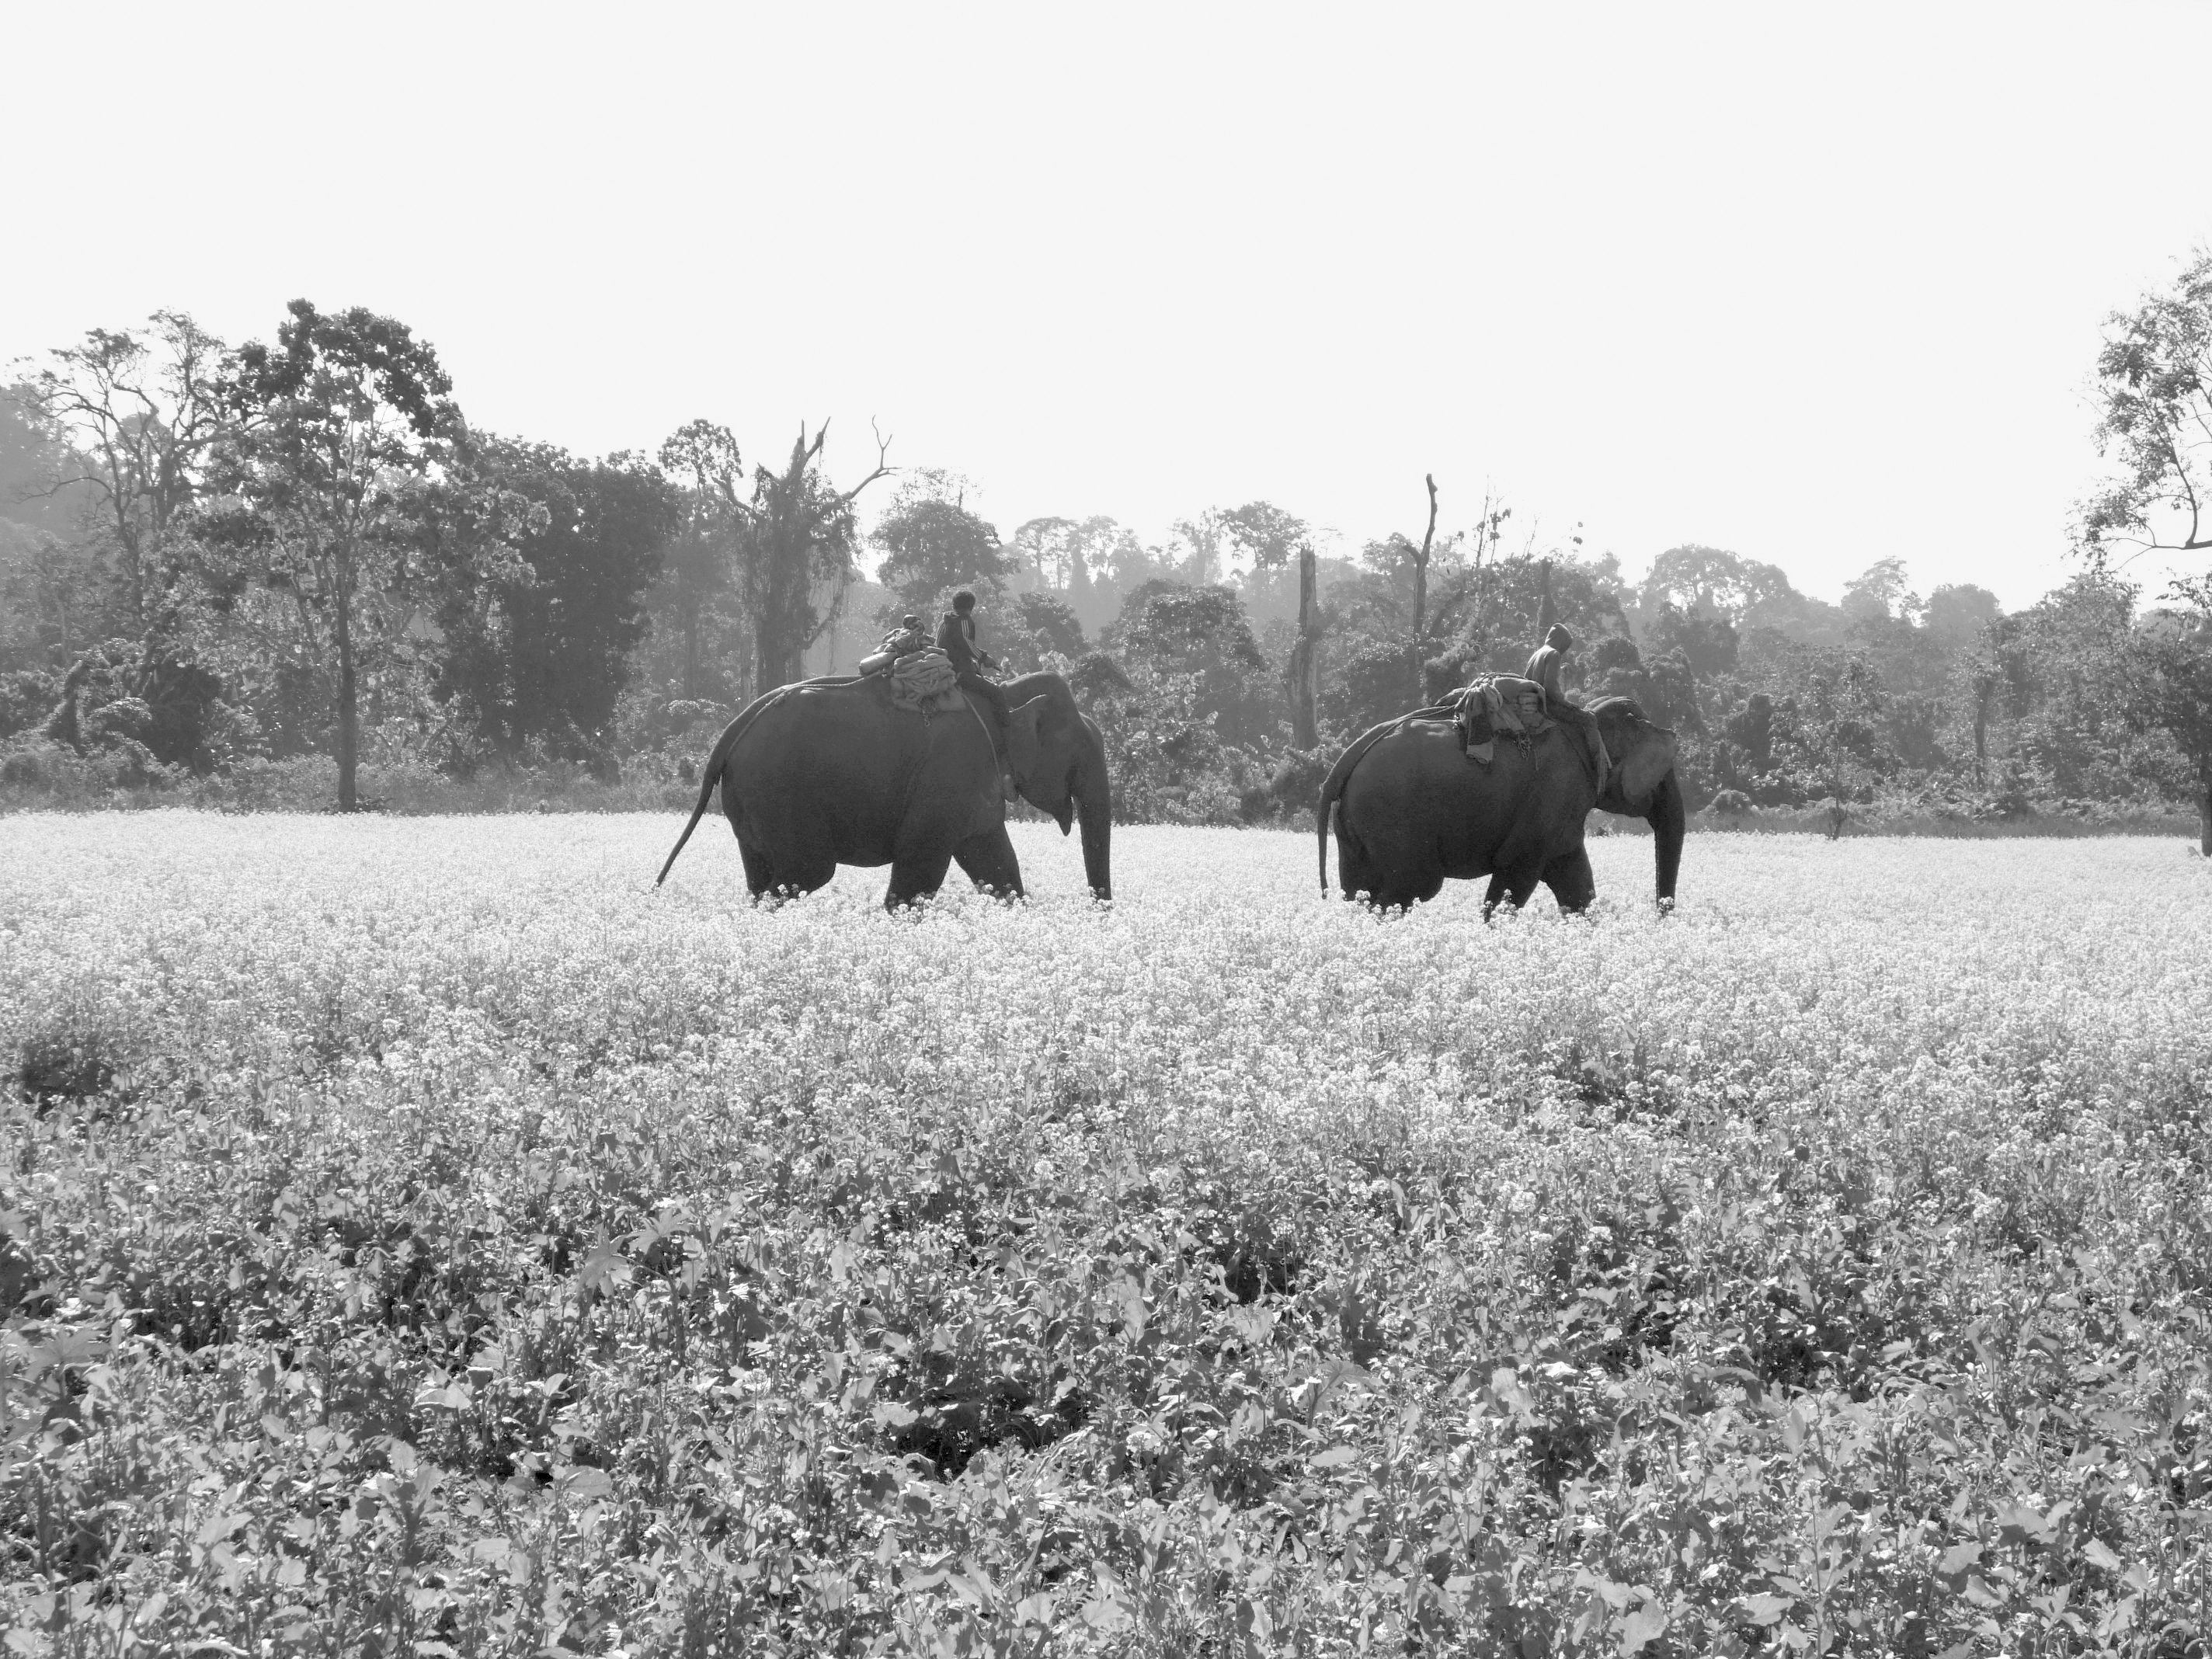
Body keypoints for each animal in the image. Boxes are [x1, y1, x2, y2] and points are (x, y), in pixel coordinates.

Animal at [650, 672, 1106, 911]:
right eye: (1081, 753)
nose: (1100, 913)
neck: (1004, 694)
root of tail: (730, 732)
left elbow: (997, 866)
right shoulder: (950, 773)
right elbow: (920, 865)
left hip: (749, 800)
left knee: (762, 877)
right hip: (778, 792)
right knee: (807, 871)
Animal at [1309, 694, 1689, 916]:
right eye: (1663, 776)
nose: (1661, 916)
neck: (1588, 721)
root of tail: (1343, 763)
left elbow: (1576, 884)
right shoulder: (1554, 793)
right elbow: (1516, 873)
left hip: (1352, 822)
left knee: (1359, 890)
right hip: (1391, 816)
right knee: (1413, 886)